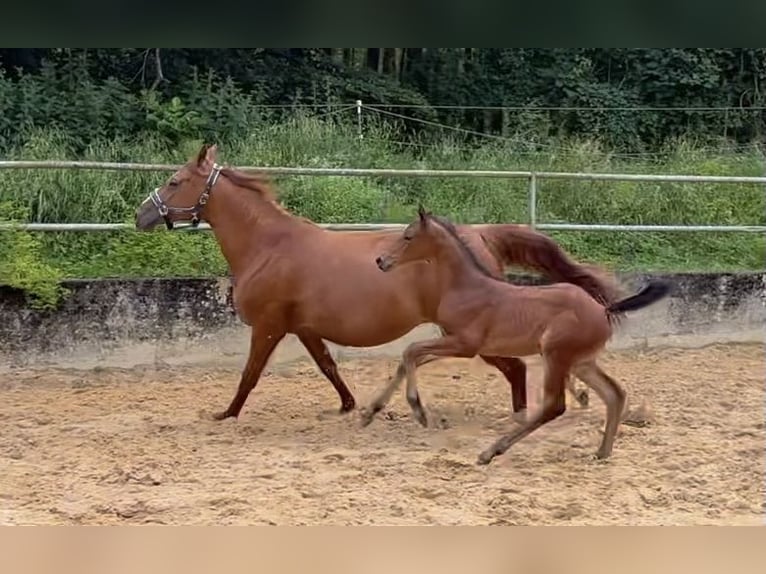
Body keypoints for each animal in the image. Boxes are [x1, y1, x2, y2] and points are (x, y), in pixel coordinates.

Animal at [134, 144, 624, 424]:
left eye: (175, 181)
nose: (141, 214)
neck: (268, 245)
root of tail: (482, 234)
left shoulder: (269, 326)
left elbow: (250, 374)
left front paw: (226, 413)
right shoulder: (304, 328)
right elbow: (328, 367)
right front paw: (351, 406)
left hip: (466, 334)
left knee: (516, 367)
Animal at [366, 209, 672, 466]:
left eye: (408, 236)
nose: (381, 261)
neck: (468, 288)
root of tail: (603, 309)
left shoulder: (465, 345)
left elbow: (411, 350)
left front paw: (418, 410)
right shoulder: (456, 343)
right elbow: (410, 357)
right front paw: (371, 412)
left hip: (556, 355)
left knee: (554, 405)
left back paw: (491, 451)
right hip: (581, 362)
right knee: (614, 394)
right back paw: (602, 452)